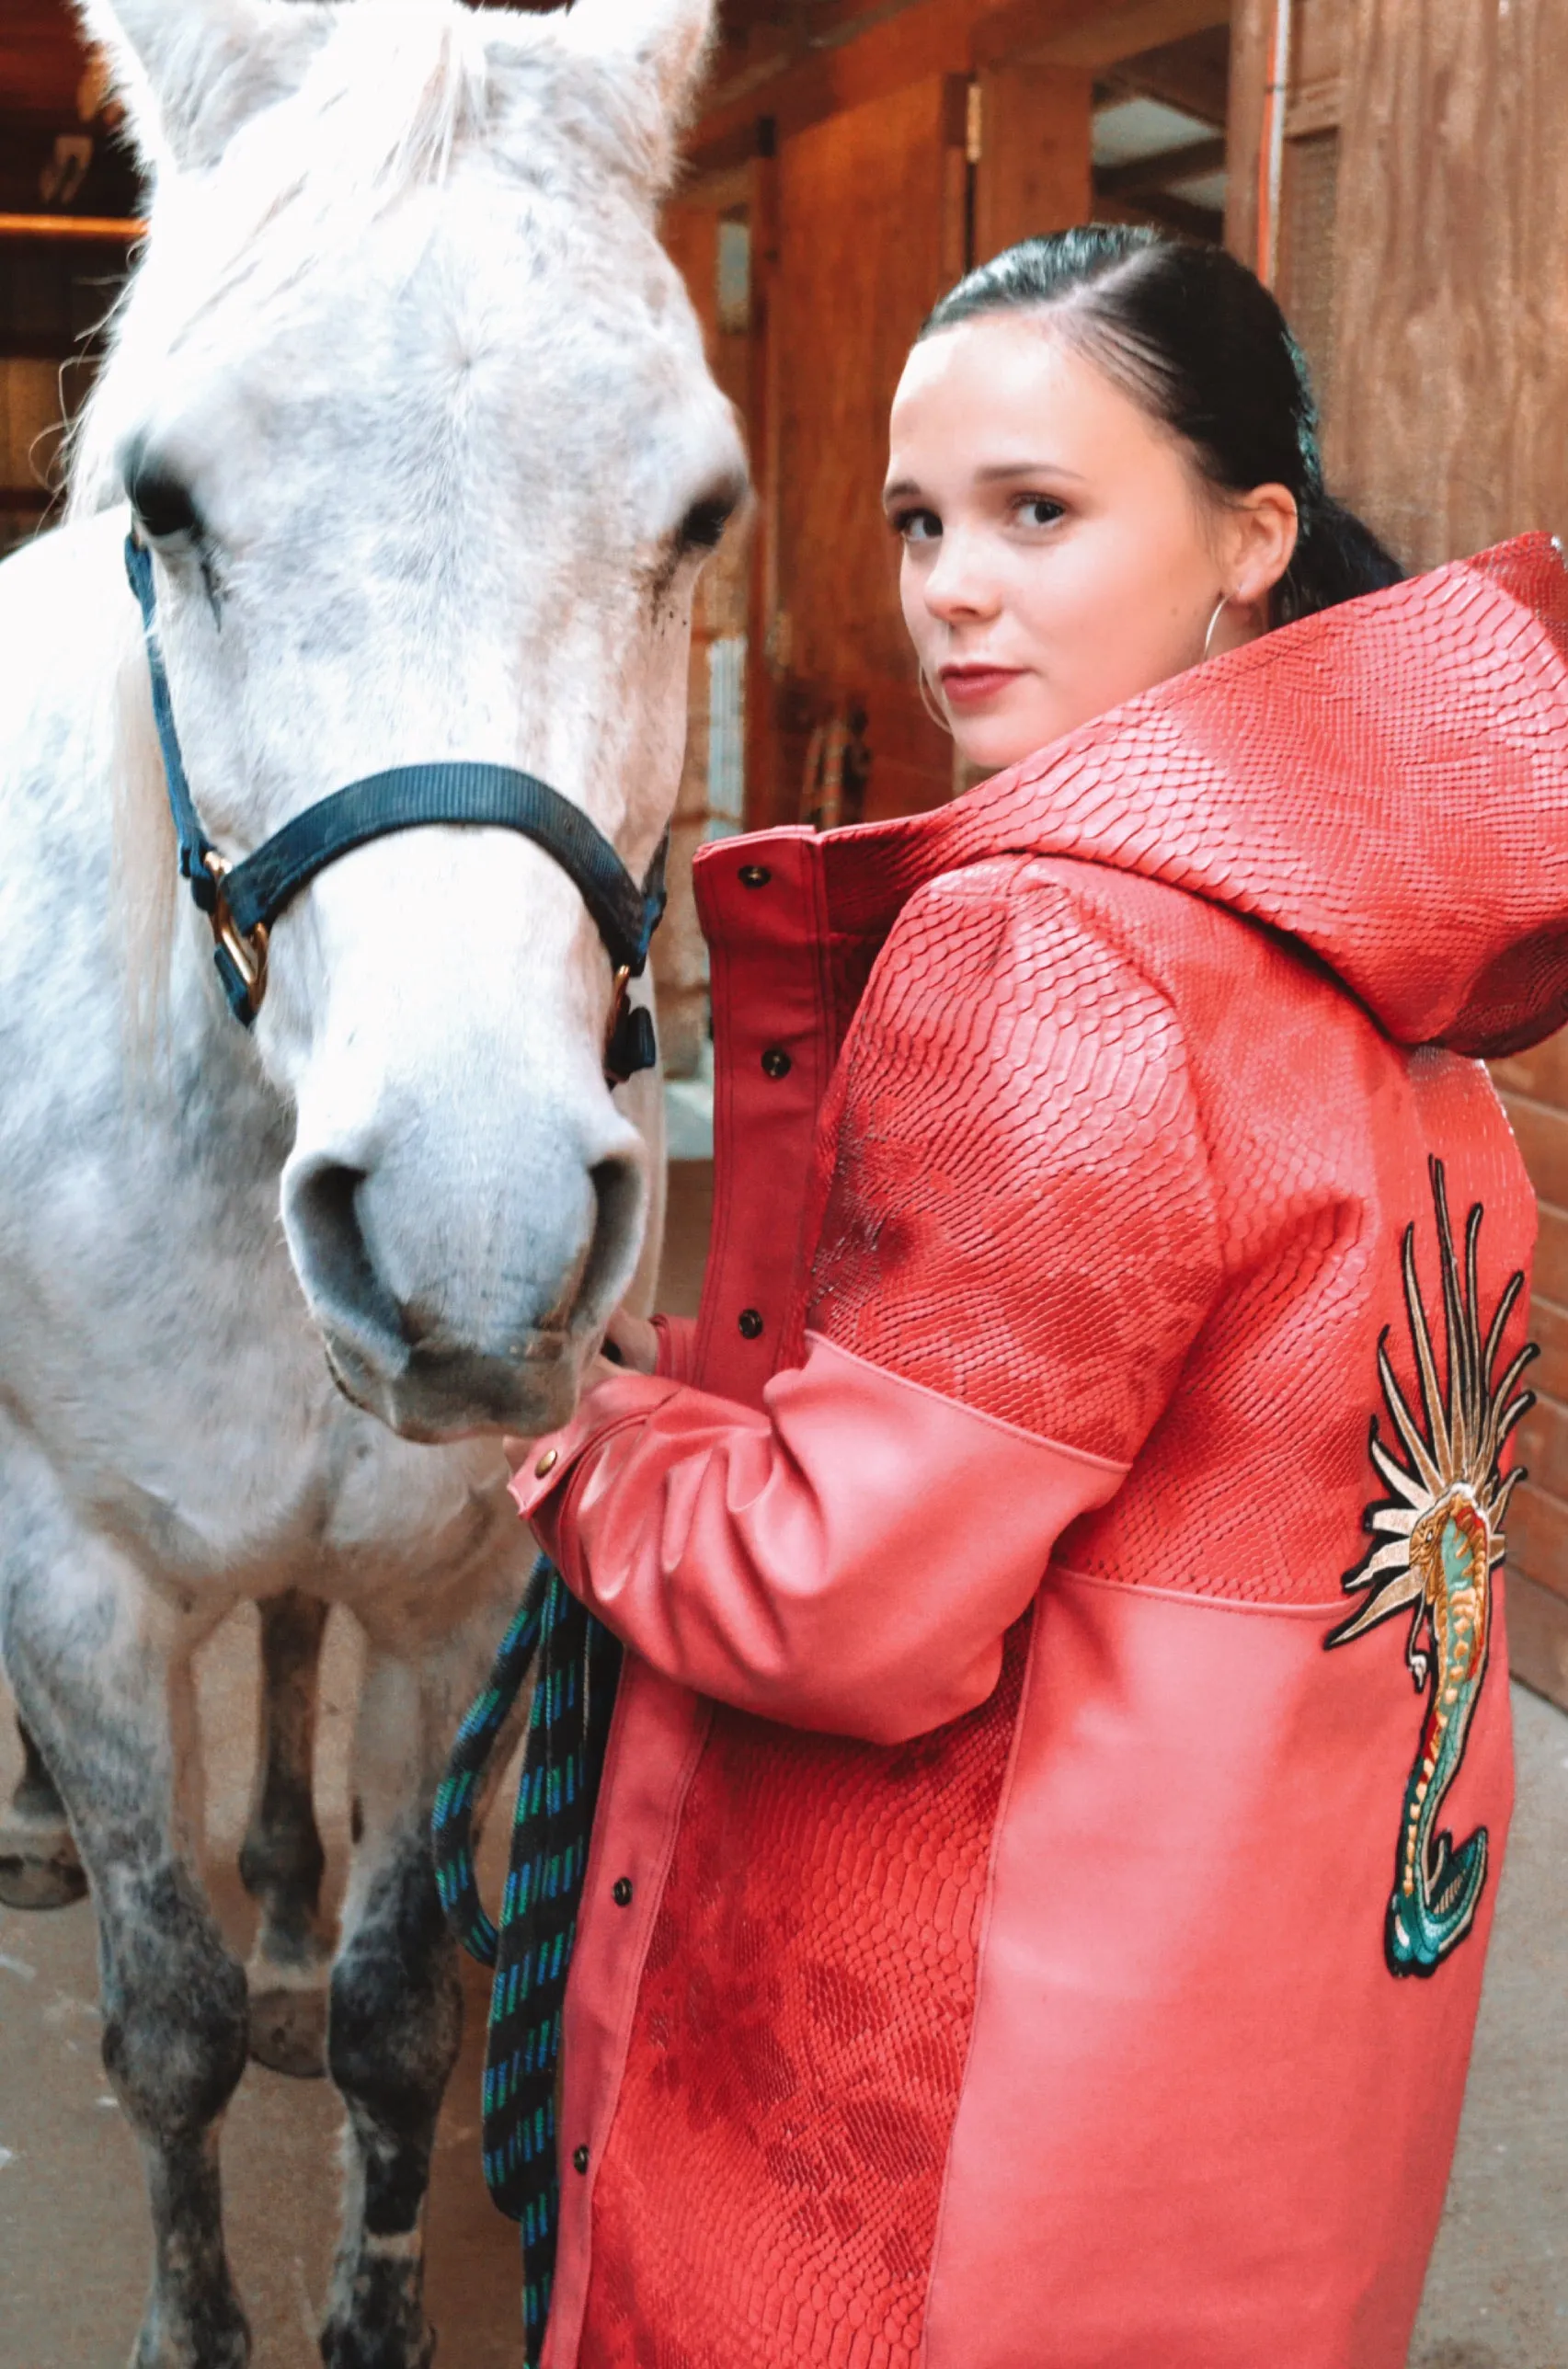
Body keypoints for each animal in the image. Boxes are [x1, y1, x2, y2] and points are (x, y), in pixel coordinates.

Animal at [0, 0, 743, 2359]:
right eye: (164, 502)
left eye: (701, 509)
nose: (472, 1230)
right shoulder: (70, 1570)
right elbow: (161, 2027)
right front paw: (194, 2321)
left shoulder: (461, 1583)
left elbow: (411, 2020)